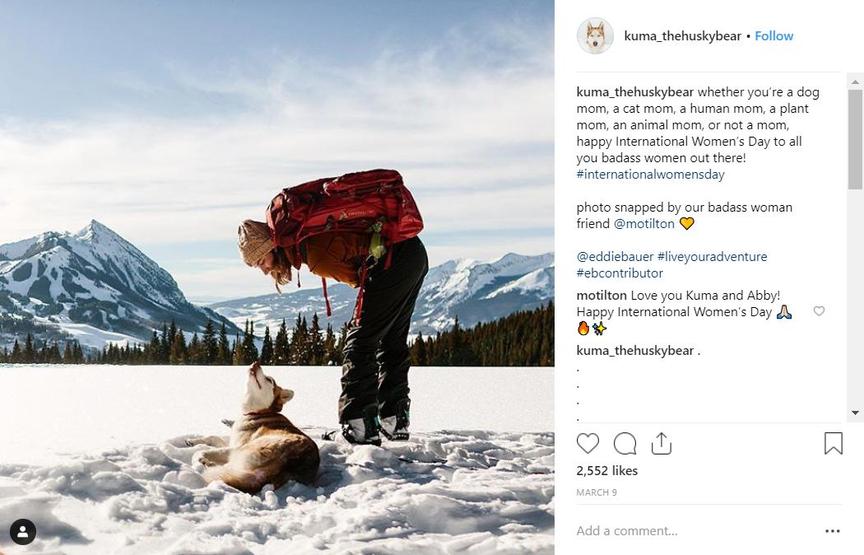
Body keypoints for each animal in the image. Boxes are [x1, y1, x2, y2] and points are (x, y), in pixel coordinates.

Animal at [186, 360, 320, 496]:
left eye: (269, 380)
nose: (256, 363)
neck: (258, 412)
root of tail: (288, 464)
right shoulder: (233, 441)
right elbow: (214, 437)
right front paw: (192, 441)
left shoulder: (235, 447)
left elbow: (203, 451)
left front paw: (200, 456)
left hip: (244, 451)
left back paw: (207, 465)